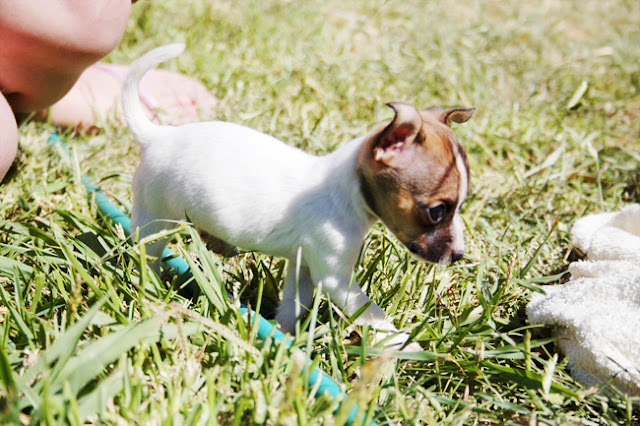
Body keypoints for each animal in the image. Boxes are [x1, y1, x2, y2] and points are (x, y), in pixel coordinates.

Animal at [122, 44, 474, 350]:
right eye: (437, 211)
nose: (458, 256)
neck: (344, 193)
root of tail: (157, 135)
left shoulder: (302, 267)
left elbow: (293, 305)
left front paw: (284, 340)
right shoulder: (334, 279)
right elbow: (374, 314)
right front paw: (404, 344)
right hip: (155, 220)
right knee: (146, 254)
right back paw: (149, 289)